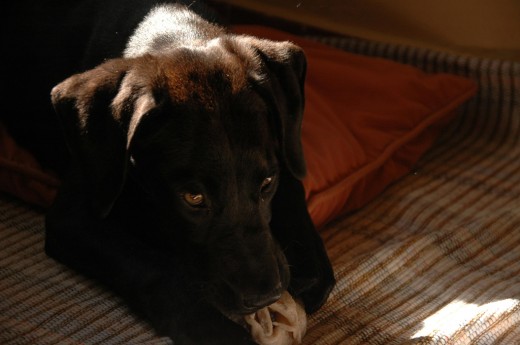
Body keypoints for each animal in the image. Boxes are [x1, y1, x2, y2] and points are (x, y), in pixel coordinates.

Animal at [2, 1, 336, 342]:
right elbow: (149, 268)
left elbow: (293, 177)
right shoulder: (74, 216)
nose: (265, 297)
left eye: (268, 182)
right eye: (193, 197)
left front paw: (310, 263)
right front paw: (209, 326)